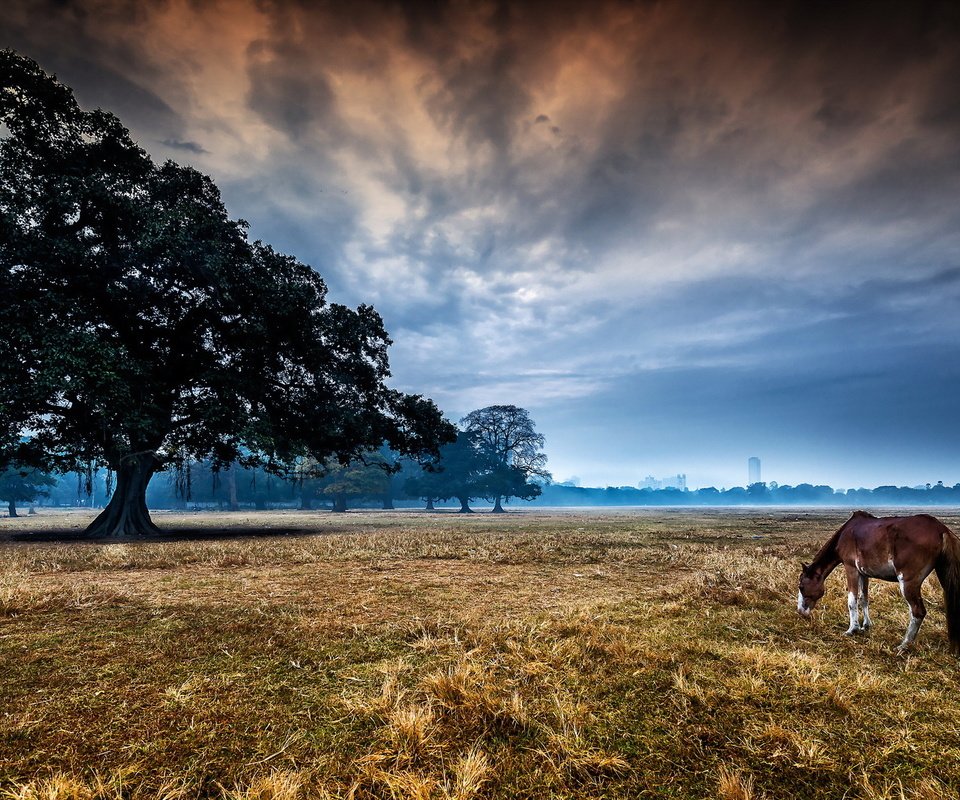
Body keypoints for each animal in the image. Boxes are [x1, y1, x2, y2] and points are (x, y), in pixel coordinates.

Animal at [796, 510, 960, 652]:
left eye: (801, 587)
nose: (801, 612)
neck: (846, 533)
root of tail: (941, 529)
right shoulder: (863, 574)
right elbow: (864, 599)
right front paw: (865, 625)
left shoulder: (851, 569)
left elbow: (852, 601)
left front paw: (852, 629)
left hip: (908, 583)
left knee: (918, 611)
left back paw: (904, 645)